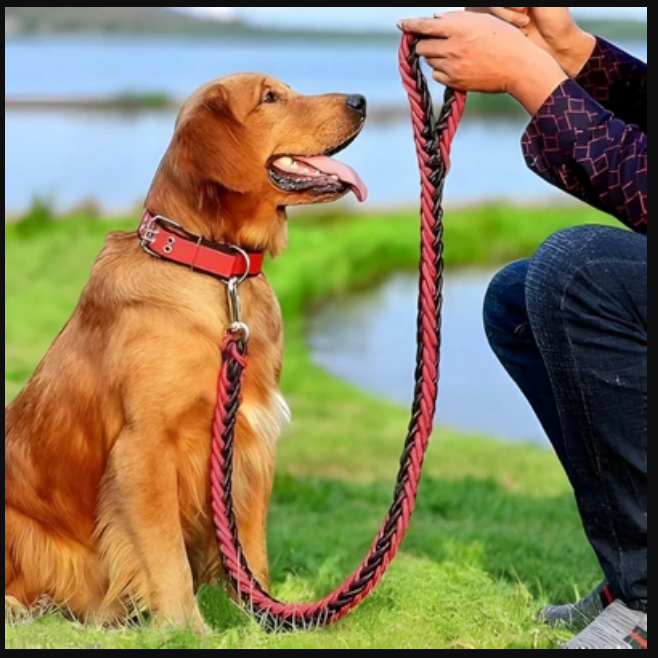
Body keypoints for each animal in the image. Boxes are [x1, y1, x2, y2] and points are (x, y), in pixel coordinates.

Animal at [3, 73, 364, 632]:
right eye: (269, 98)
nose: (361, 101)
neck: (216, 271)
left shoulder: (248, 444)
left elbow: (249, 553)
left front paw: (261, 621)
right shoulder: (144, 449)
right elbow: (166, 554)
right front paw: (186, 629)